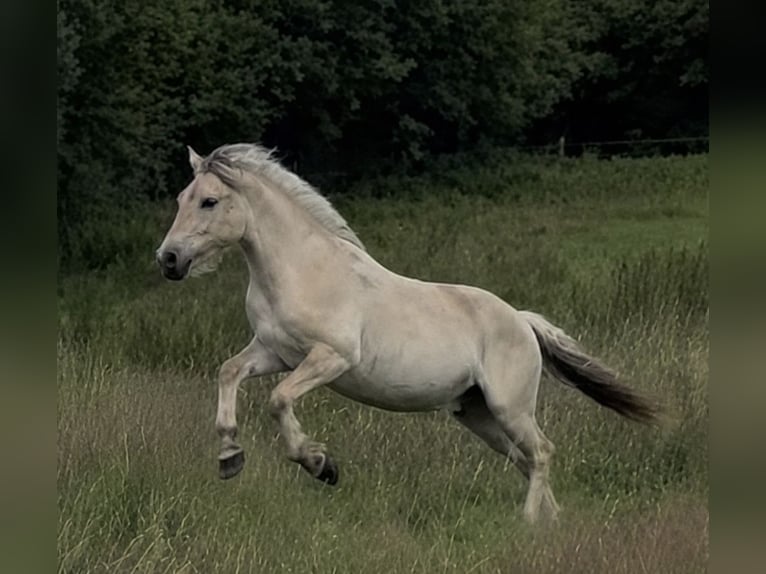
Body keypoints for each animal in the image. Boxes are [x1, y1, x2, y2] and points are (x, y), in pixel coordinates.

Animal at [156, 143, 659, 523]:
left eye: (209, 201)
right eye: (181, 198)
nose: (169, 259)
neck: (302, 269)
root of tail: (522, 320)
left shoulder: (331, 357)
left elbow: (279, 400)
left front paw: (320, 465)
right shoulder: (273, 352)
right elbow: (228, 372)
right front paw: (230, 457)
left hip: (509, 406)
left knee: (542, 453)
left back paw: (529, 523)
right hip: (477, 414)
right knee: (525, 459)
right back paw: (552, 522)